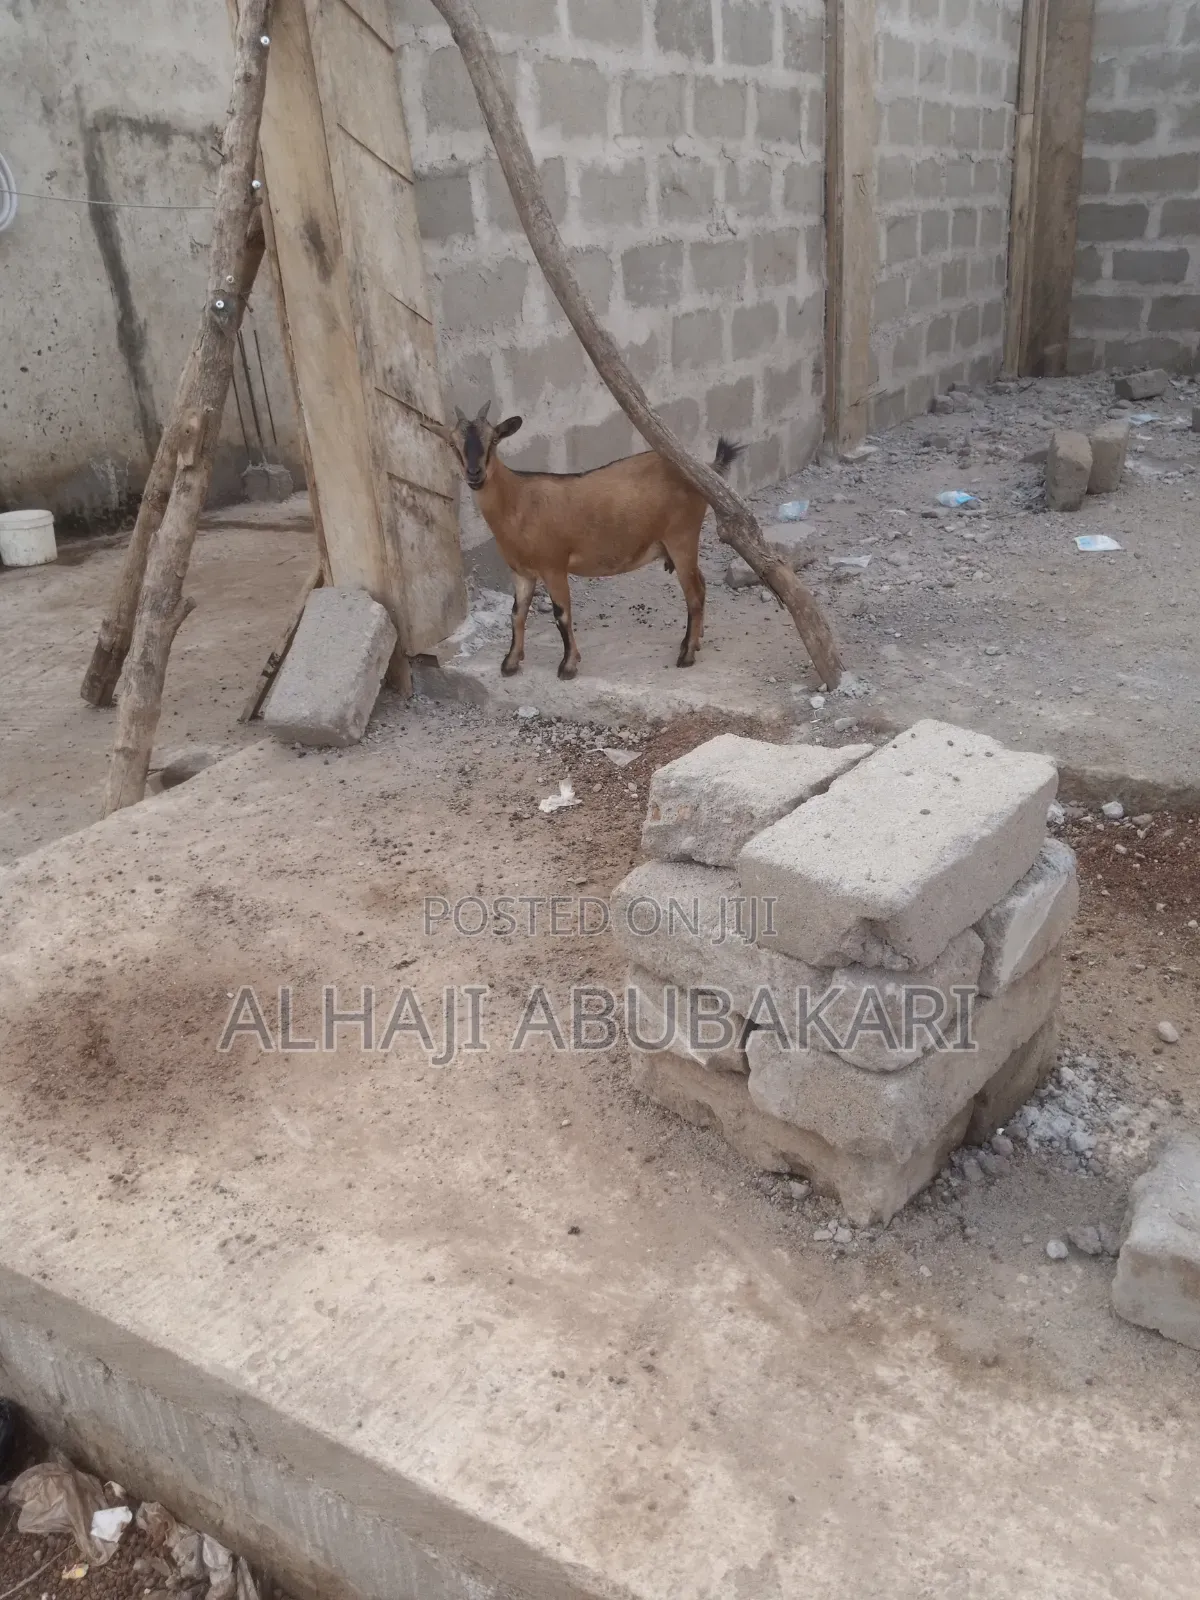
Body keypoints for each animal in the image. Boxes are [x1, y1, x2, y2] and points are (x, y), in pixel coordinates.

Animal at [427, 402, 743, 680]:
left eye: (493, 440)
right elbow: (516, 614)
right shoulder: (521, 572)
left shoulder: (553, 566)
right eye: (453, 444)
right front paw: (510, 663)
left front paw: (568, 666)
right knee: (701, 583)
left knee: (694, 594)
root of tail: (705, 469)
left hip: (681, 537)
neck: (517, 502)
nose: (475, 474)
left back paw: (686, 655)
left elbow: (561, 615)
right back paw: (695, 641)